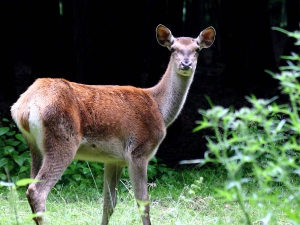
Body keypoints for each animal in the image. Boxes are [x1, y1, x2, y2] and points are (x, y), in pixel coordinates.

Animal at [9, 23, 216, 224]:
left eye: (197, 49)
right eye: (173, 48)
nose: (186, 64)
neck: (159, 109)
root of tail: (23, 107)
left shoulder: (113, 160)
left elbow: (109, 204)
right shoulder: (139, 151)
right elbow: (143, 204)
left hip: (35, 146)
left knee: (29, 184)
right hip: (62, 140)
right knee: (36, 191)